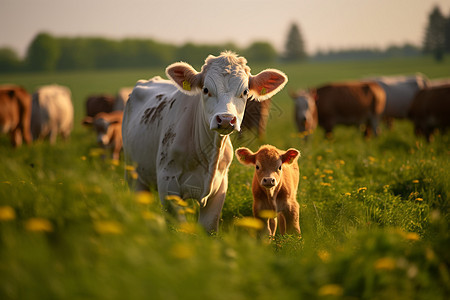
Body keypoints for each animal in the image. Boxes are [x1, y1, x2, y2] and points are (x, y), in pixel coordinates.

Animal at [121, 51, 286, 232]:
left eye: (245, 91)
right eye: (206, 89)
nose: (226, 119)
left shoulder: (220, 188)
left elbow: (209, 226)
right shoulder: (168, 184)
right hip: (133, 175)